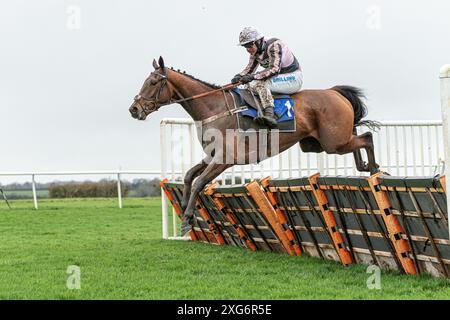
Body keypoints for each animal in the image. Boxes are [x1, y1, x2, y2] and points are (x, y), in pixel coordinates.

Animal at [129, 56, 380, 234]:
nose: (134, 109)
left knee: (367, 137)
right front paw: (183, 208)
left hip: (333, 142)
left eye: (153, 82)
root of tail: (334, 92)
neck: (214, 108)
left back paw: (373, 169)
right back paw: (366, 167)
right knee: (359, 136)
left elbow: (200, 181)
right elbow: (190, 175)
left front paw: (188, 218)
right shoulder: (212, 155)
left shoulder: (225, 159)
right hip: (318, 143)